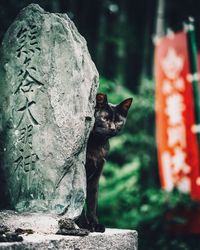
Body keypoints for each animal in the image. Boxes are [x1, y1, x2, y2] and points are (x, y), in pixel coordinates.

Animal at [77, 93, 133, 233]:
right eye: (104, 118)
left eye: (118, 121)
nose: (112, 128)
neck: (98, 143)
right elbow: (80, 202)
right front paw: (84, 225)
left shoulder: (95, 177)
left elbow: (92, 203)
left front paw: (95, 225)